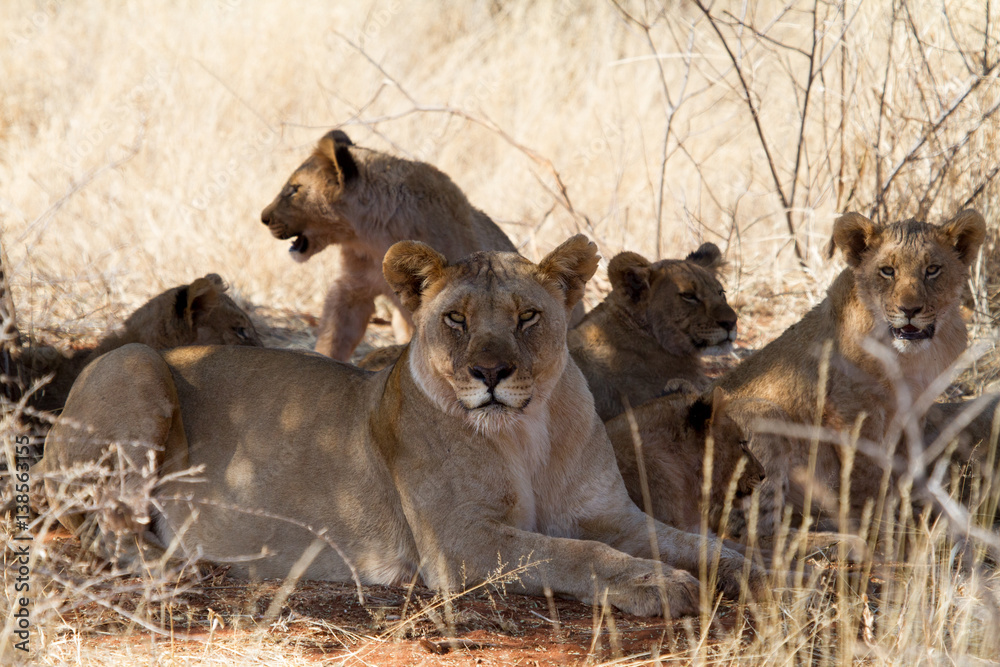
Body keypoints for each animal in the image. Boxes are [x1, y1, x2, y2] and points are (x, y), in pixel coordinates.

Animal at [714, 210, 987, 535]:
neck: (908, 358)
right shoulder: (851, 407)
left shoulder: (914, 407)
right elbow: (866, 473)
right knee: (752, 531)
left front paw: (901, 519)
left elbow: (904, 467)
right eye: (887, 271)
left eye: (932, 270)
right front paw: (875, 527)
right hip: (765, 419)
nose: (909, 310)